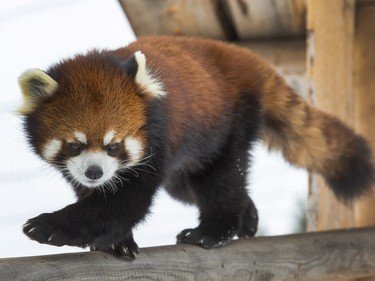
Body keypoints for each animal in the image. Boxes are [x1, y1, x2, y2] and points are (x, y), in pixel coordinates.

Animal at [19, 36, 374, 260]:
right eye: (75, 145)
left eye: (114, 145)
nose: (95, 172)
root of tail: (244, 58)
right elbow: (102, 200)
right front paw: (116, 242)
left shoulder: (157, 141)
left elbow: (124, 203)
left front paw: (48, 226)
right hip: (185, 166)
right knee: (194, 187)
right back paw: (248, 215)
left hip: (229, 123)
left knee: (222, 181)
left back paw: (213, 230)